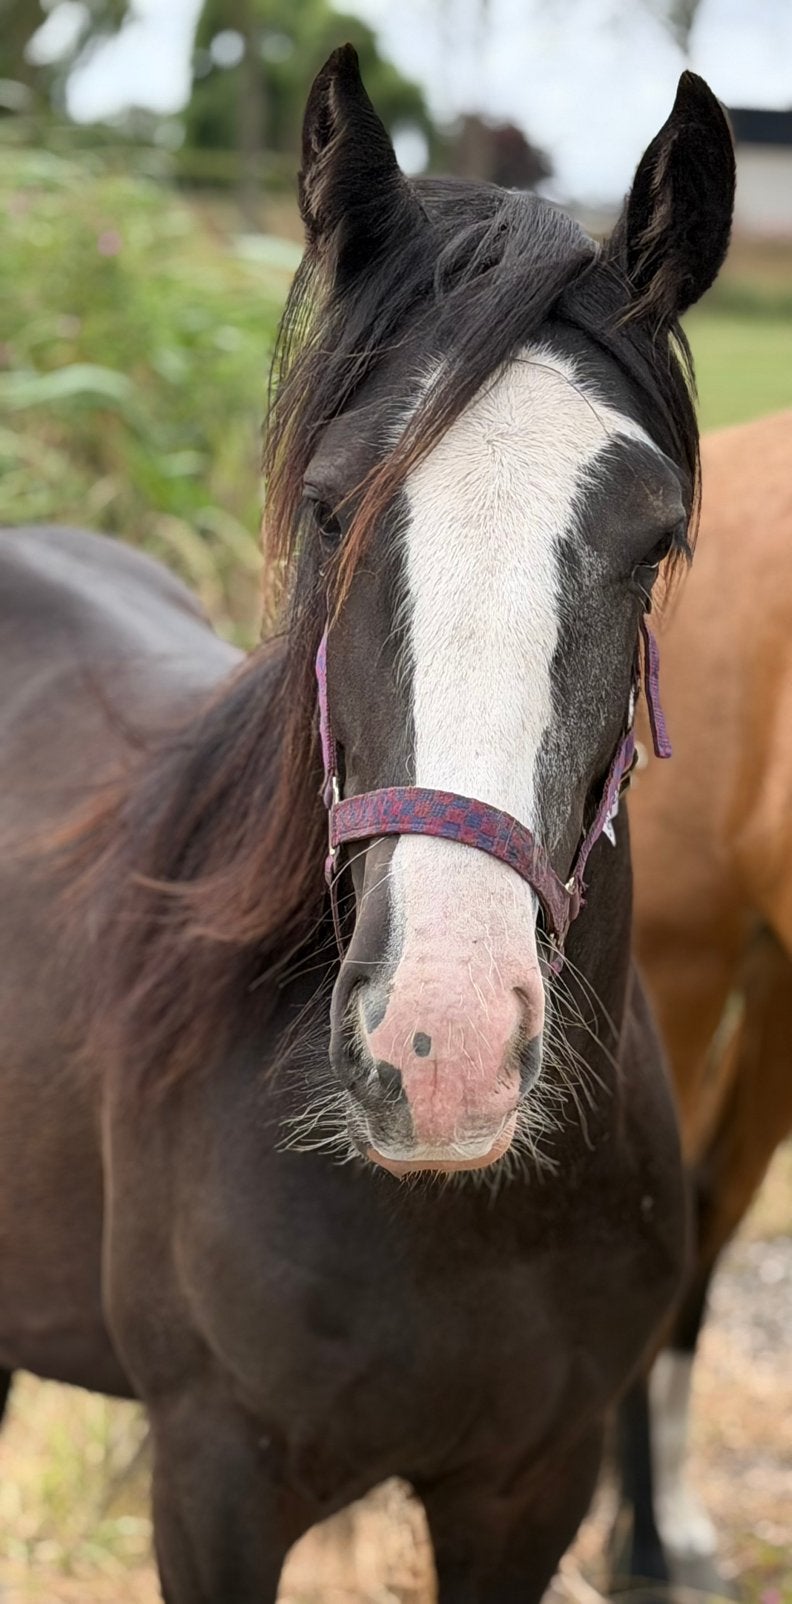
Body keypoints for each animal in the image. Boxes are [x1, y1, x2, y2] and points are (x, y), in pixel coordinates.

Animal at [0, 48, 735, 1602]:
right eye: (335, 507)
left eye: (654, 539)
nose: (438, 1047)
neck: (458, 1218)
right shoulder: (213, 1486)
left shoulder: (530, 1489)